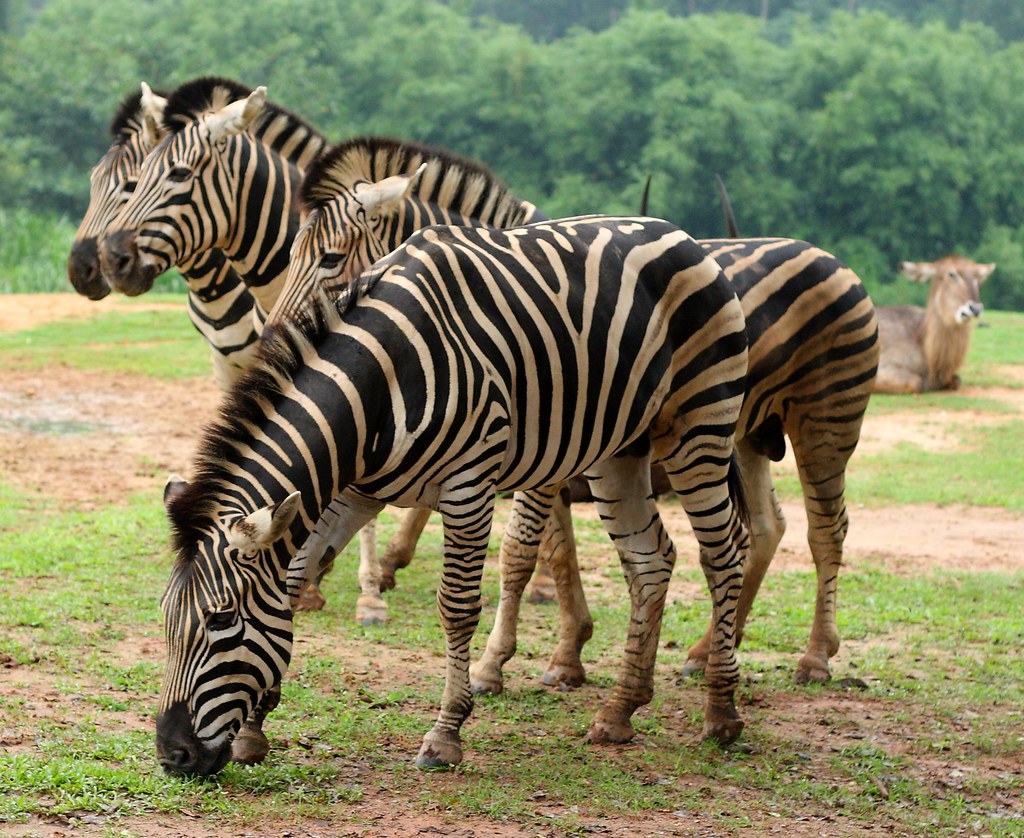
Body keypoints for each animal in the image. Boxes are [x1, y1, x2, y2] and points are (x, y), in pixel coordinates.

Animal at [156, 214, 750, 774]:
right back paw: (621, 710)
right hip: (619, 447)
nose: (171, 755)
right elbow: (295, 582)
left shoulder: (470, 482)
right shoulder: (354, 493)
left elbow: (457, 606)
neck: (378, 385)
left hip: (700, 424)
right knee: (652, 560)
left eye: (220, 620)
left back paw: (721, 709)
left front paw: (445, 734)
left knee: (724, 552)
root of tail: (681, 235)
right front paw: (256, 727)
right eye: (166, 618)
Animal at [470, 235, 880, 698]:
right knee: (765, 527)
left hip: (827, 419)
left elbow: (518, 549)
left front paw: (490, 665)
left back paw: (816, 656)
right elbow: (557, 553)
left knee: (826, 531)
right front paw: (568, 655)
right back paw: (709, 649)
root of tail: (826, 255)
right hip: (748, 434)